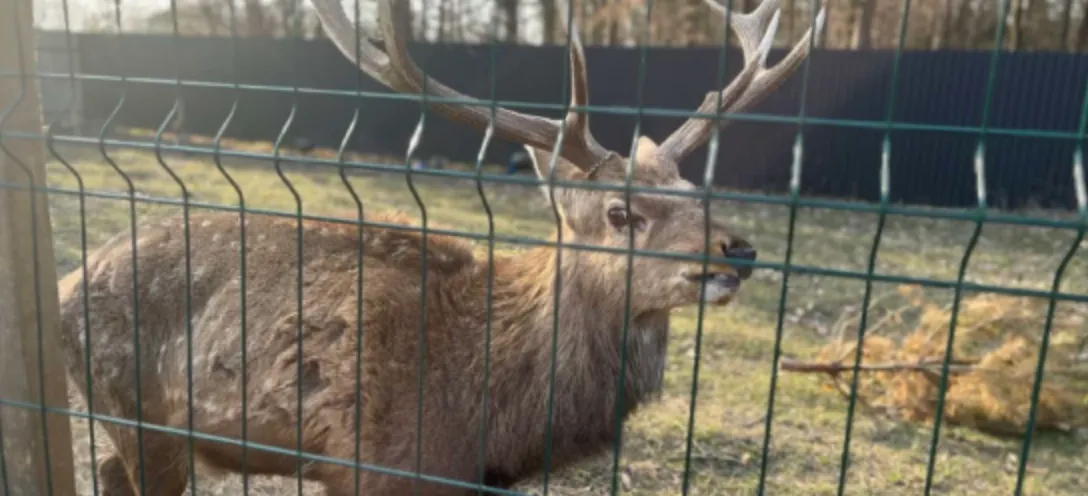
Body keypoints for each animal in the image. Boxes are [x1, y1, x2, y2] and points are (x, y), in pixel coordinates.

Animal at [55, 0, 822, 496]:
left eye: (696, 190)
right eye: (619, 212)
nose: (738, 251)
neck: (493, 416)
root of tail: (63, 287)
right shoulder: (375, 466)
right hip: (131, 407)